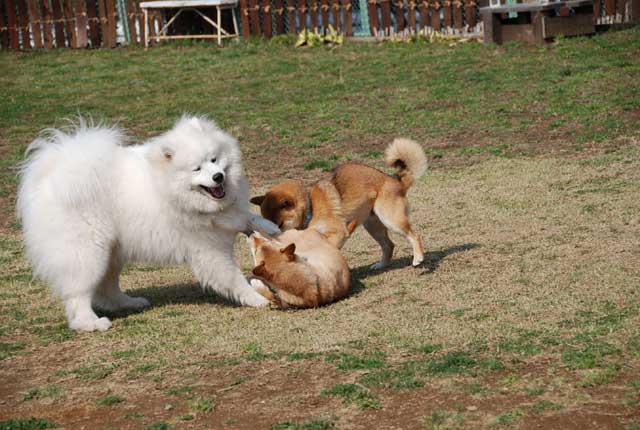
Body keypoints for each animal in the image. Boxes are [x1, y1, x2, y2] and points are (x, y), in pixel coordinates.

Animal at [17, 115, 280, 332]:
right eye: (197, 169)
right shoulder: (209, 250)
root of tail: (53, 174)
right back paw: (90, 323)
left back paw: (128, 303)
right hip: (87, 252)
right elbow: (234, 279)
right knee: (79, 292)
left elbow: (246, 217)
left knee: (107, 286)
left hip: (112, 252)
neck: (171, 188)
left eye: (214, 160)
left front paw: (270, 228)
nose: (218, 177)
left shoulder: (227, 217)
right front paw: (258, 299)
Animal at [252, 139, 428, 268]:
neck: (311, 206)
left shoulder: (339, 233)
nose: (269, 240)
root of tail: (395, 179)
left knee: (414, 235)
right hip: (372, 225)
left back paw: (418, 258)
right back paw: (381, 265)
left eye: (278, 225)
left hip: (390, 219)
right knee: (389, 245)